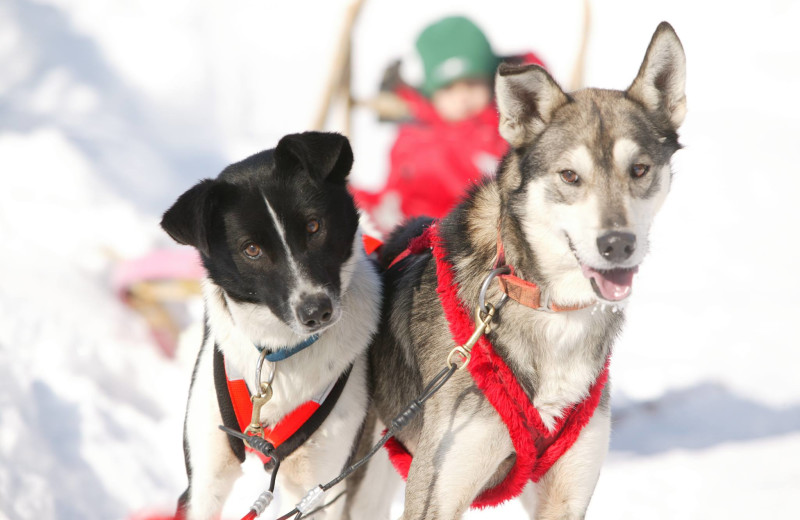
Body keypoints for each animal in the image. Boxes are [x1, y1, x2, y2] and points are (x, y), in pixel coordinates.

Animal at [162, 132, 382, 520]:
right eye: (251, 249)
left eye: (313, 226)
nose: (316, 310)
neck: (278, 353)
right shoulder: (203, 484)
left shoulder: (321, 492)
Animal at [368, 22, 688, 516]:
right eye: (569, 176)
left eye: (639, 169)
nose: (617, 244)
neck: (548, 307)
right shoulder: (436, 491)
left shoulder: (564, 496)